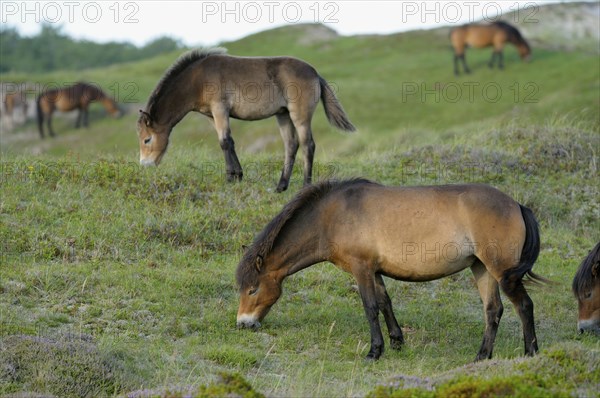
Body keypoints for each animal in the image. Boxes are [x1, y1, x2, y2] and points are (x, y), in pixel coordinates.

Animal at [136, 49, 356, 192]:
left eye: (147, 139)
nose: (145, 165)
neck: (197, 79)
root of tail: (315, 74)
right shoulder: (212, 116)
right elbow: (228, 142)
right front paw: (237, 175)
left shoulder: (220, 109)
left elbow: (225, 142)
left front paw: (230, 178)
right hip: (283, 115)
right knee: (291, 145)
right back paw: (281, 186)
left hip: (299, 116)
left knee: (307, 145)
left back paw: (305, 186)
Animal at [237, 180, 548, 360]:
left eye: (252, 289)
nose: (243, 324)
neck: (333, 216)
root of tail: (517, 205)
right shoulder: (374, 271)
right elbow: (385, 302)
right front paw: (397, 342)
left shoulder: (361, 268)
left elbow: (370, 307)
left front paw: (375, 351)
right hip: (482, 268)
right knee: (493, 310)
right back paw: (482, 356)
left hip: (501, 271)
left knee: (524, 305)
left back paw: (530, 353)